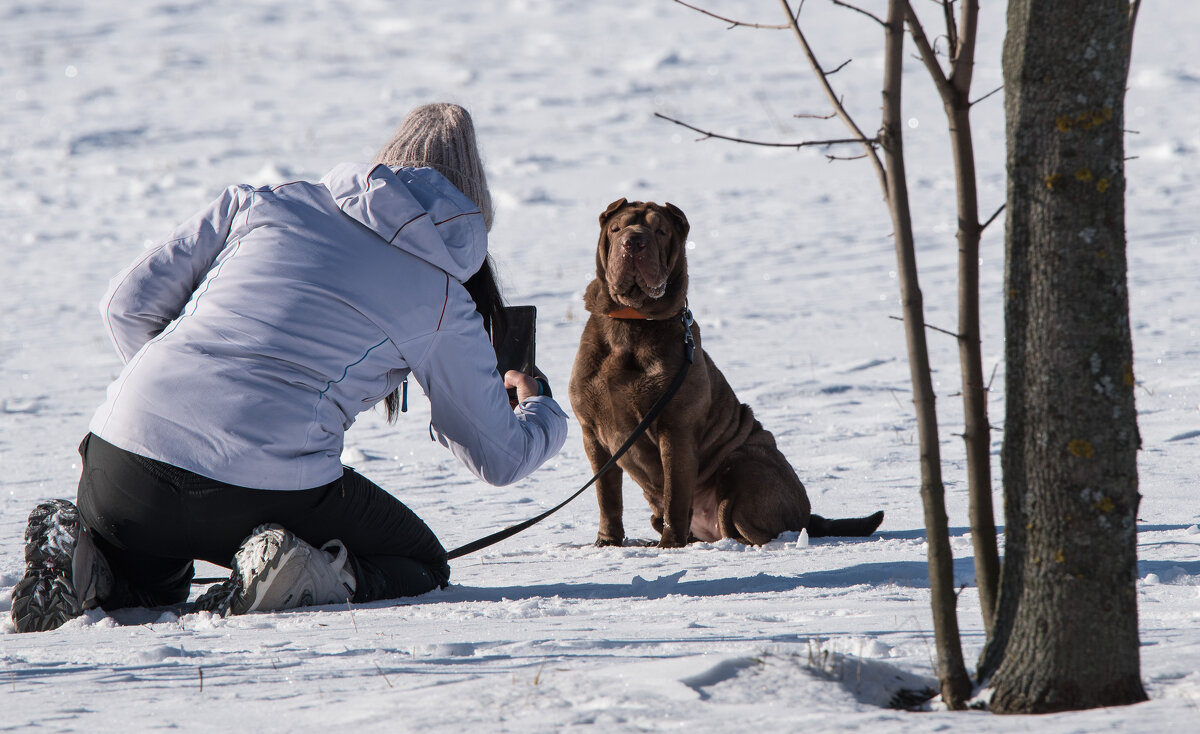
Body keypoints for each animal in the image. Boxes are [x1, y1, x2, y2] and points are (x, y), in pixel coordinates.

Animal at [566, 197, 888, 546]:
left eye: (660, 231)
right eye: (616, 229)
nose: (634, 241)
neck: (630, 321)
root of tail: (808, 515)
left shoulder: (675, 429)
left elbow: (675, 495)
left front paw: (669, 545)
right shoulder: (593, 435)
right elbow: (607, 495)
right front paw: (607, 542)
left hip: (745, 464)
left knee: (746, 522)